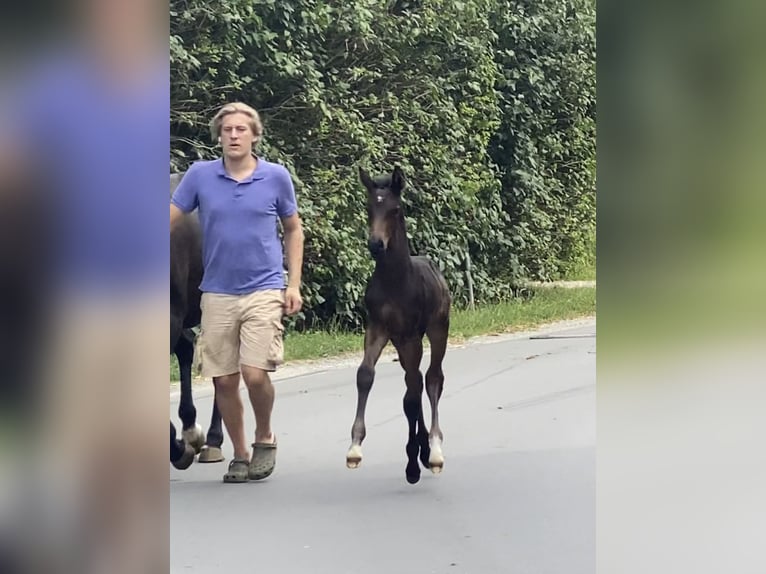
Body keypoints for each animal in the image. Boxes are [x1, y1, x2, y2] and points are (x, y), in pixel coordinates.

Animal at [346, 166, 450, 486]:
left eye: (394, 209)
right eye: (369, 208)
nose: (375, 244)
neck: (395, 281)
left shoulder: (410, 334)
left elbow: (416, 393)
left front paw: (418, 459)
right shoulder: (378, 328)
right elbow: (365, 375)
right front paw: (355, 448)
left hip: (437, 330)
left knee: (432, 379)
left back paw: (434, 450)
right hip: (402, 343)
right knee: (412, 383)